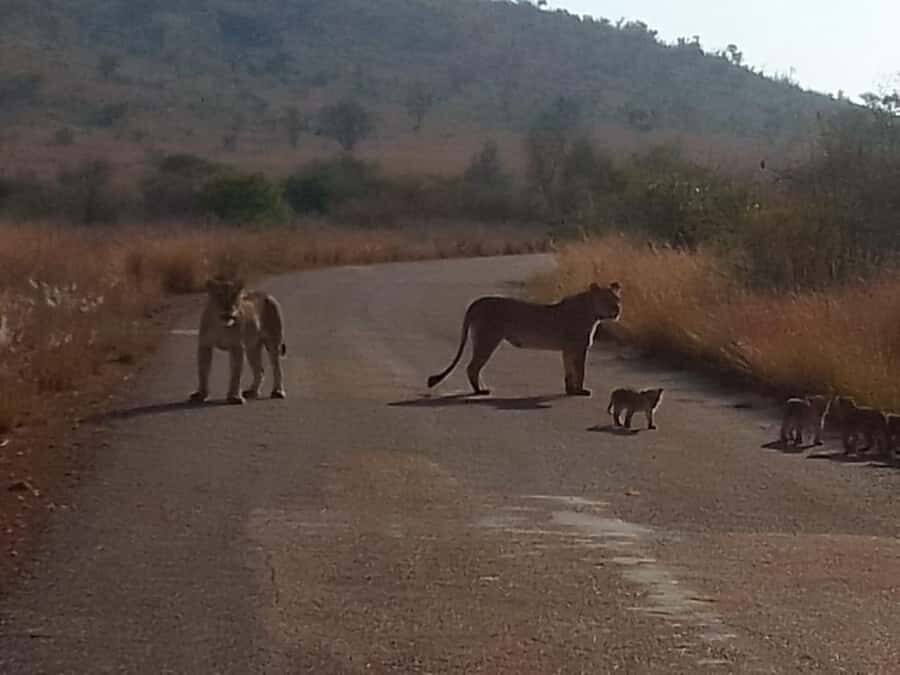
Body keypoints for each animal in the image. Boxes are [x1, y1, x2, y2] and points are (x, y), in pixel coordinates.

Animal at [427, 282, 622, 396]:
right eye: (606, 299)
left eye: (618, 299)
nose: (617, 311)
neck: (592, 311)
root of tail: (477, 302)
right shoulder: (578, 348)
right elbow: (580, 372)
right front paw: (580, 391)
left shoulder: (567, 350)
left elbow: (569, 372)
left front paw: (570, 390)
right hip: (487, 339)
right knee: (472, 367)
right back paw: (480, 391)